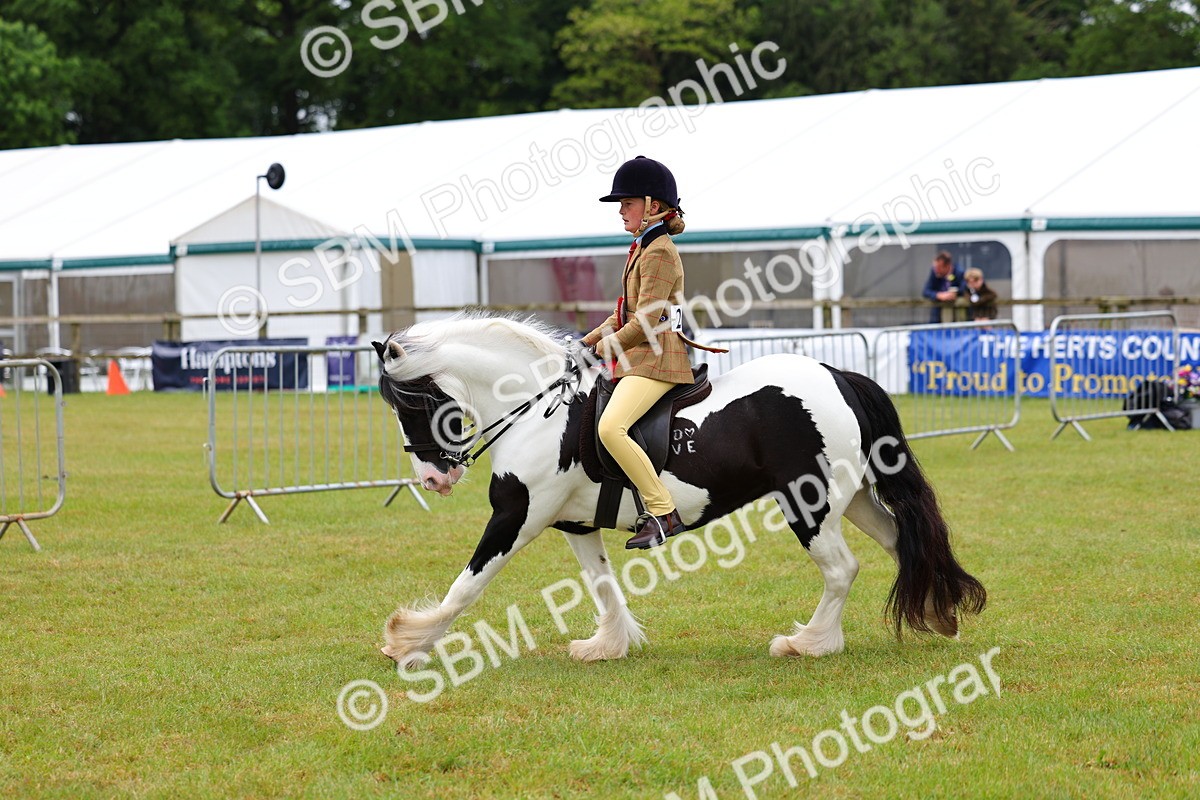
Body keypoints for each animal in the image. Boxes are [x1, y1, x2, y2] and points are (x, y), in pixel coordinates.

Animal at [372, 312, 986, 666]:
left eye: (409, 403)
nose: (433, 478)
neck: (540, 409)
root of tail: (838, 375)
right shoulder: (574, 524)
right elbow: (602, 585)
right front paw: (607, 646)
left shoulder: (517, 516)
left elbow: (466, 587)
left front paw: (407, 643)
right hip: (852, 497)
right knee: (900, 541)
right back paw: (936, 614)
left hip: (808, 501)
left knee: (842, 569)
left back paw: (807, 643)